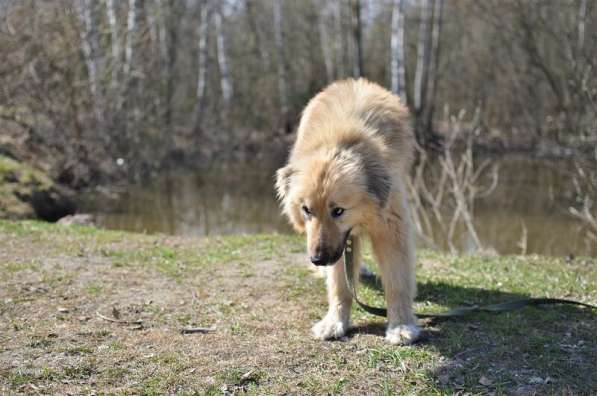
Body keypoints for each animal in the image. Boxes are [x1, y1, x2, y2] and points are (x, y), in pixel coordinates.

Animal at [276, 77, 420, 344]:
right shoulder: (338, 246)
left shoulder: (391, 230)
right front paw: (335, 322)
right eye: (307, 210)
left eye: (338, 211)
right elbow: (339, 286)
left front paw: (401, 326)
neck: (342, 140)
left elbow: (397, 282)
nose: (317, 259)